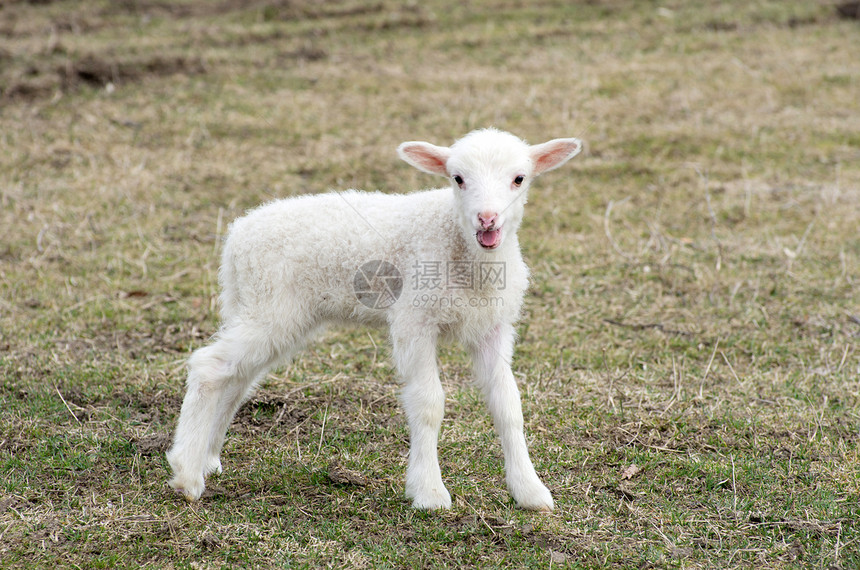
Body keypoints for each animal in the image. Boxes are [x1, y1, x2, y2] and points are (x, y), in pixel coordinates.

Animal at [166, 129, 584, 510]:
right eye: (457, 178)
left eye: (519, 178)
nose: (487, 219)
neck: (464, 252)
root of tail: (237, 237)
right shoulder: (414, 318)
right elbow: (428, 403)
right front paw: (430, 493)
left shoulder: (492, 327)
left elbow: (508, 404)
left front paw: (530, 491)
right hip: (271, 306)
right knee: (209, 366)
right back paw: (187, 475)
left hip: (260, 307)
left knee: (237, 378)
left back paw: (207, 458)